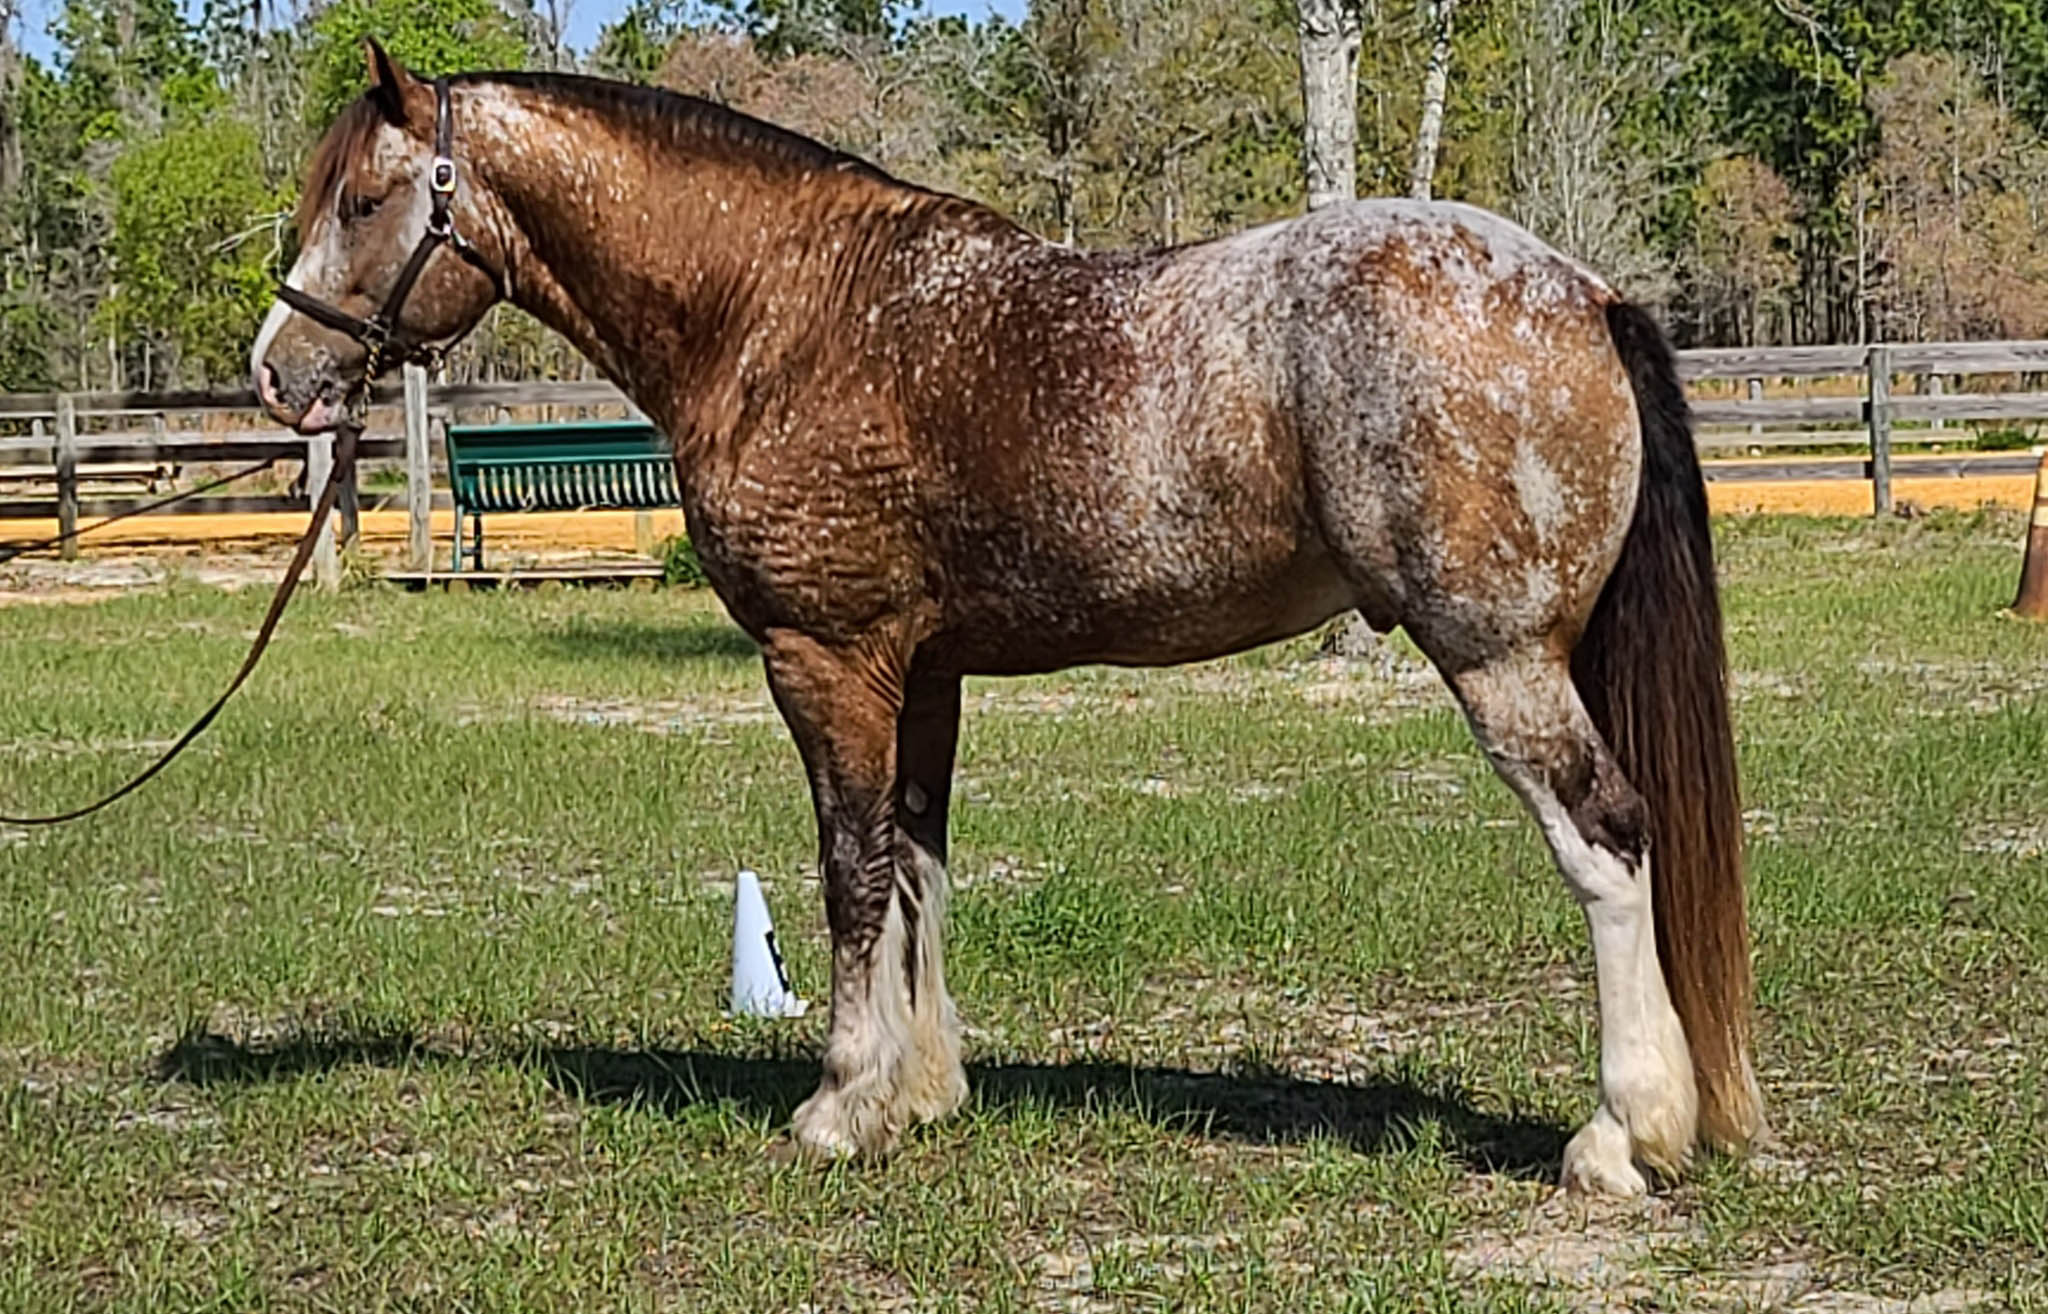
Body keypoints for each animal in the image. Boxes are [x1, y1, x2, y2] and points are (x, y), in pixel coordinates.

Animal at [251, 40, 1761, 1195]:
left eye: (369, 196)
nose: (279, 372)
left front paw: (839, 1103)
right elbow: (918, 862)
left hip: (1499, 661)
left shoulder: (825, 661)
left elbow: (850, 870)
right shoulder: (923, 673)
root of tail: (1582, 290)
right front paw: (921, 1090)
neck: (779, 312)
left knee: (1609, 840)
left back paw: (1622, 1136)